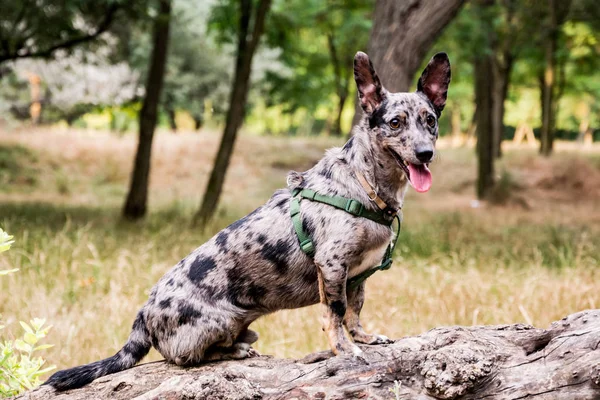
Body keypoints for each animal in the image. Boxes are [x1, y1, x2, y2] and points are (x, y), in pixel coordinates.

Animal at [45, 50, 450, 390]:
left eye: (430, 120)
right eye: (395, 122)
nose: (425, 153)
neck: (363, 184)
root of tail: (144, 313)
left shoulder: (357, 276)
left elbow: (354, 310)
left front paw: (363, 336)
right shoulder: (333, 266)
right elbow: (334, 315)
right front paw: (346, 350)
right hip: (219, 321)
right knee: (185, 358)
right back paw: (235, 349)